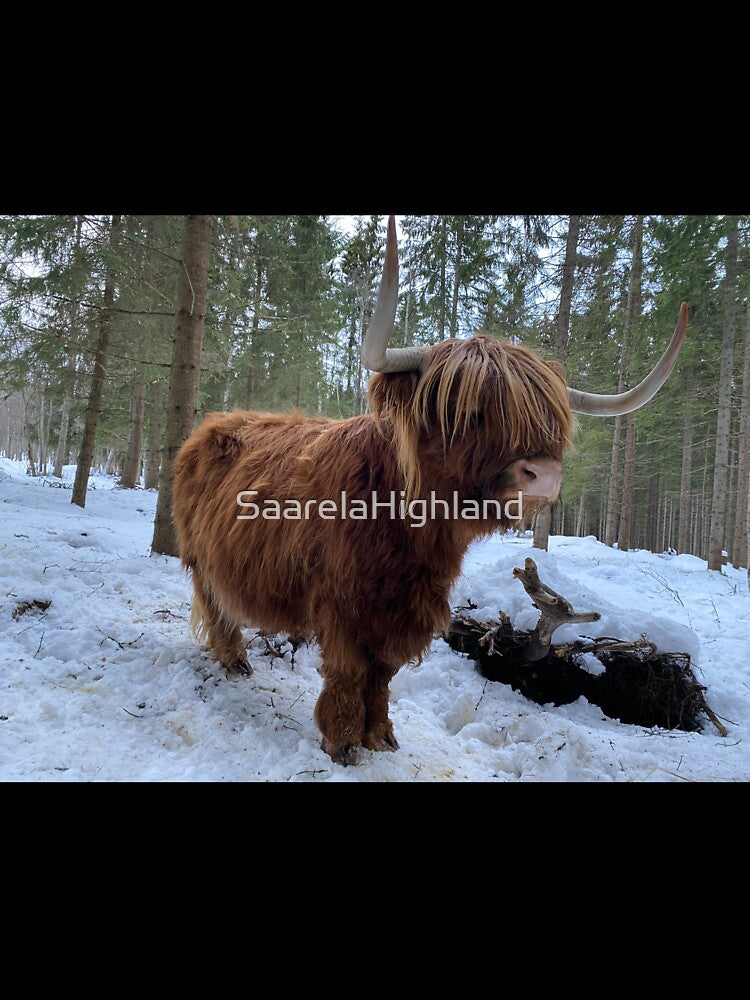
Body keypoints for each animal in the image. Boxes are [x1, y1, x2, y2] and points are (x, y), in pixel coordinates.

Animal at [172, 216, 687, 765]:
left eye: (552, 419)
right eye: (468, 411)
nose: (544, 474)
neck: (410, 527)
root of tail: (212, 424)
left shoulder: (410, 605)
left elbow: (383, 673)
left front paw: (380, 736)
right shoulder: (341, 600)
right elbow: (351, 669)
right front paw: (342, 741)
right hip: (200, 555)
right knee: (214, 603)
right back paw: (234, 662)